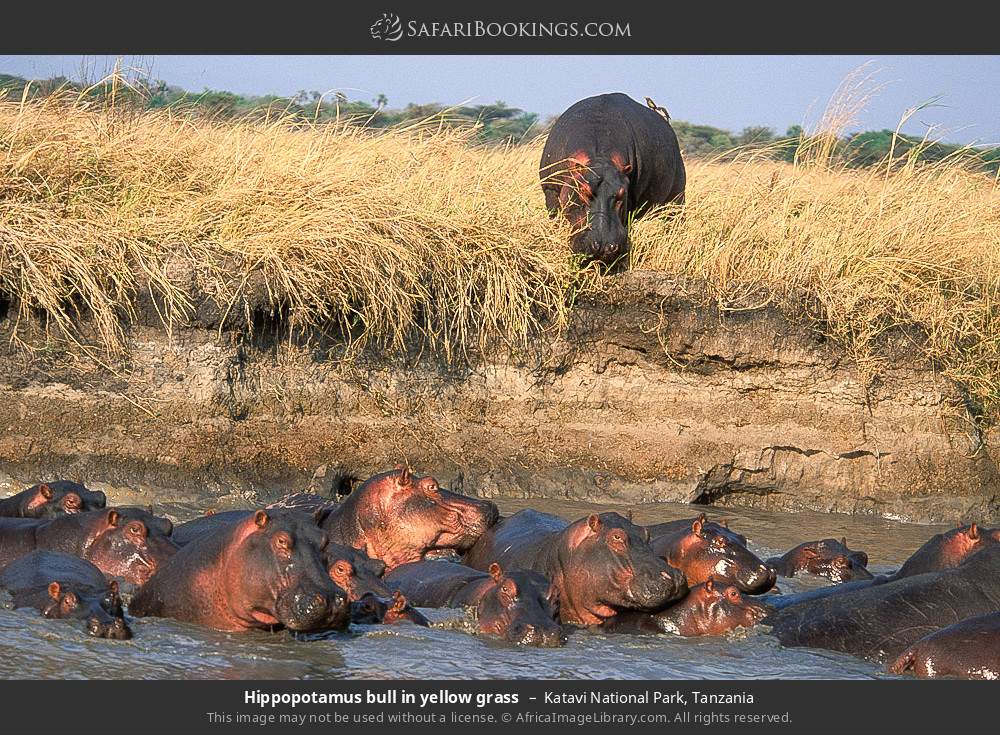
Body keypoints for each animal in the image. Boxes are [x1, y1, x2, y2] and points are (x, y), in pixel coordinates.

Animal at [540, 92, 685, 266]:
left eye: (623, 193)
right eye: (583, 191)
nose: (603, 246)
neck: (600, 157)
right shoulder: (550, 190)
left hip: (677, 199)